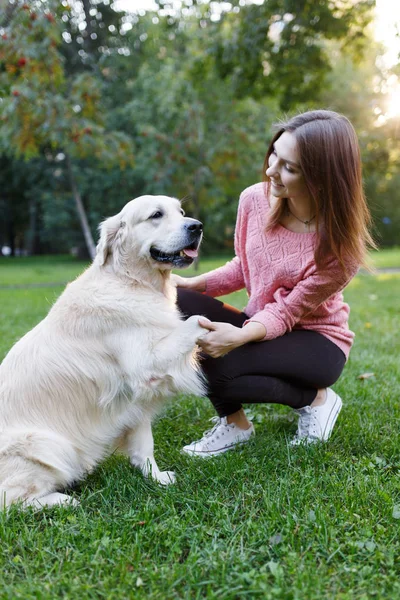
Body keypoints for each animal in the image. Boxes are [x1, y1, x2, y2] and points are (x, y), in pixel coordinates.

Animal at [0, 195, 206, 508]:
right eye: (156, 215)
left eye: (180, 212)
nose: (197, 226)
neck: (130, 281)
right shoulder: (144, 365)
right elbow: (195, 321)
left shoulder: (136, 399)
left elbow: (144, 445)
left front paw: (156, 478)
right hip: (46, 444)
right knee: (13, 500)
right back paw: (64, 501)